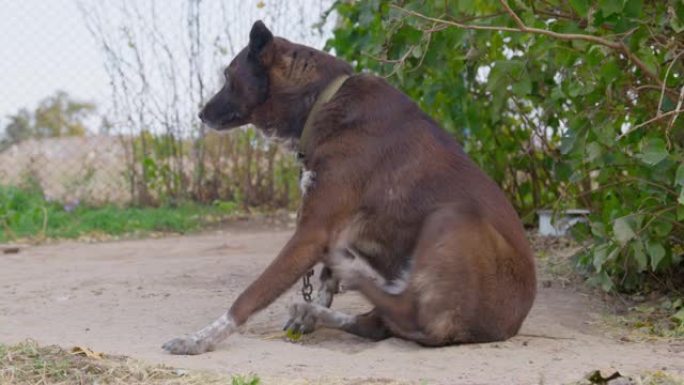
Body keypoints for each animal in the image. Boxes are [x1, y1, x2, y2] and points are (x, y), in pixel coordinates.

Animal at [163, 19, 536, 352]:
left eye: (229, 77)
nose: (200, 114)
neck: (321, 102)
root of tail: (507, 324)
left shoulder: (312, 231)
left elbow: (248, 296)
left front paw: (199, 339)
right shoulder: (325, 226)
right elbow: (324, 279)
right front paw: (311, 311)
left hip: (452, 217)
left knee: (406, 314)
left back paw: (348, 278)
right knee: (379, 323)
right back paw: (321, 301)